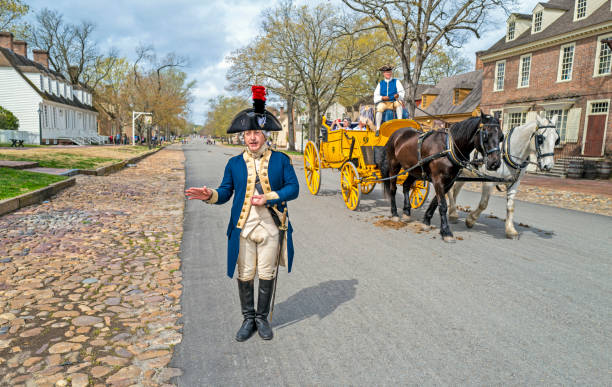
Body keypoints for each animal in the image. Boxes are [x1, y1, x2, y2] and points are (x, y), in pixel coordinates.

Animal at [380, 112, 504, 242]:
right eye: (485, 135)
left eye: (501, 137)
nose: (495, 163)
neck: (449, 147)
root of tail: (397, 133)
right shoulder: (438, 180)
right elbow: (443, 205)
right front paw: (446, 231)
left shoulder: (449, 181)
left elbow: (436, 203)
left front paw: (426, 221)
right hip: (394, 166)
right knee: (393, 189)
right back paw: (394, 214)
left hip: (414, 169)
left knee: (406, 186)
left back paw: (407, 212)